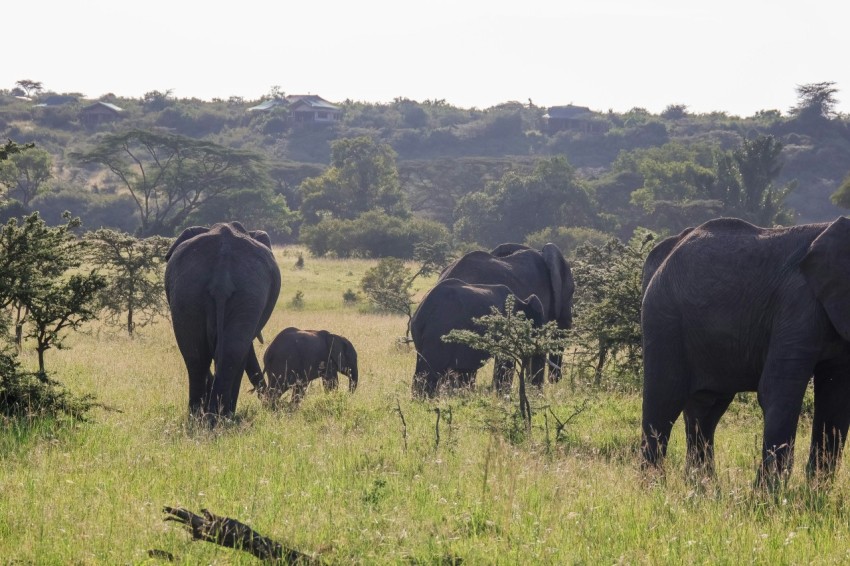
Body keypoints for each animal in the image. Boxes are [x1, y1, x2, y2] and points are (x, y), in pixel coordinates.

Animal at [161, 222, 276, 422]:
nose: (270, 404)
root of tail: (222, 273)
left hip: (189, 289)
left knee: (197, 353)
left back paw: (201, 417)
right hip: (248, 291)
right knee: (232, 351)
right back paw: (218, 416)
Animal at [410, 280, 544, 400]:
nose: (537, 395)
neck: (522, 301)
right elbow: (506, 362)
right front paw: (502, 398)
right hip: (439, 332)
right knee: (430, 370)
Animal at [640, 220, 850, 486]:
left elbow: (837, 398)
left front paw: (816, 491)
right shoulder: (797, 304)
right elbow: (778, 390)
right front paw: (769, 494)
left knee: (706, 409)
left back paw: (702, 487)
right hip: (664, 319)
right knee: (665, 400)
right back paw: (653, 486)